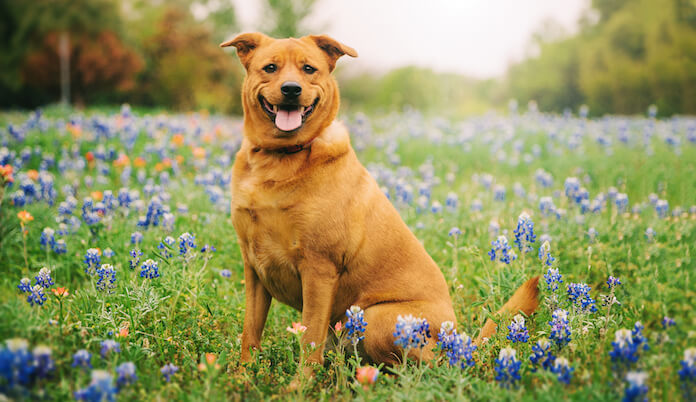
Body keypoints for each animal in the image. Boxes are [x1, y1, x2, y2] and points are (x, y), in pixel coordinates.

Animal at [220, 33, 540, 376]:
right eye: (270, 67)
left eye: (309, 69)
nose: (291, 89)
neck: (278, 159)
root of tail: (456, 342)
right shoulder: (253, 266)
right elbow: (250, 331)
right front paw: (242, 375)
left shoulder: (319, 267)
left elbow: (309, 340)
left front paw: (300, 384)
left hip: (375, 318)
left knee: (422, 366)